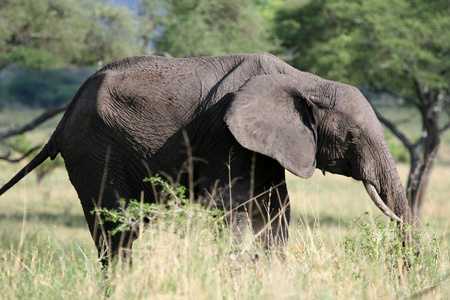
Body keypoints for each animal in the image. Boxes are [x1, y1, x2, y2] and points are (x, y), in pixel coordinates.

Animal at [0, 52, 414, 264]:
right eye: (351, 137)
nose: (403, 267)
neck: (305, 80)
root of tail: (63, 118)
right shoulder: (223, 136)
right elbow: (230, 208)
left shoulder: (265, 145)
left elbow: (275, 209)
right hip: (94, 149)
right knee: (119, 227)